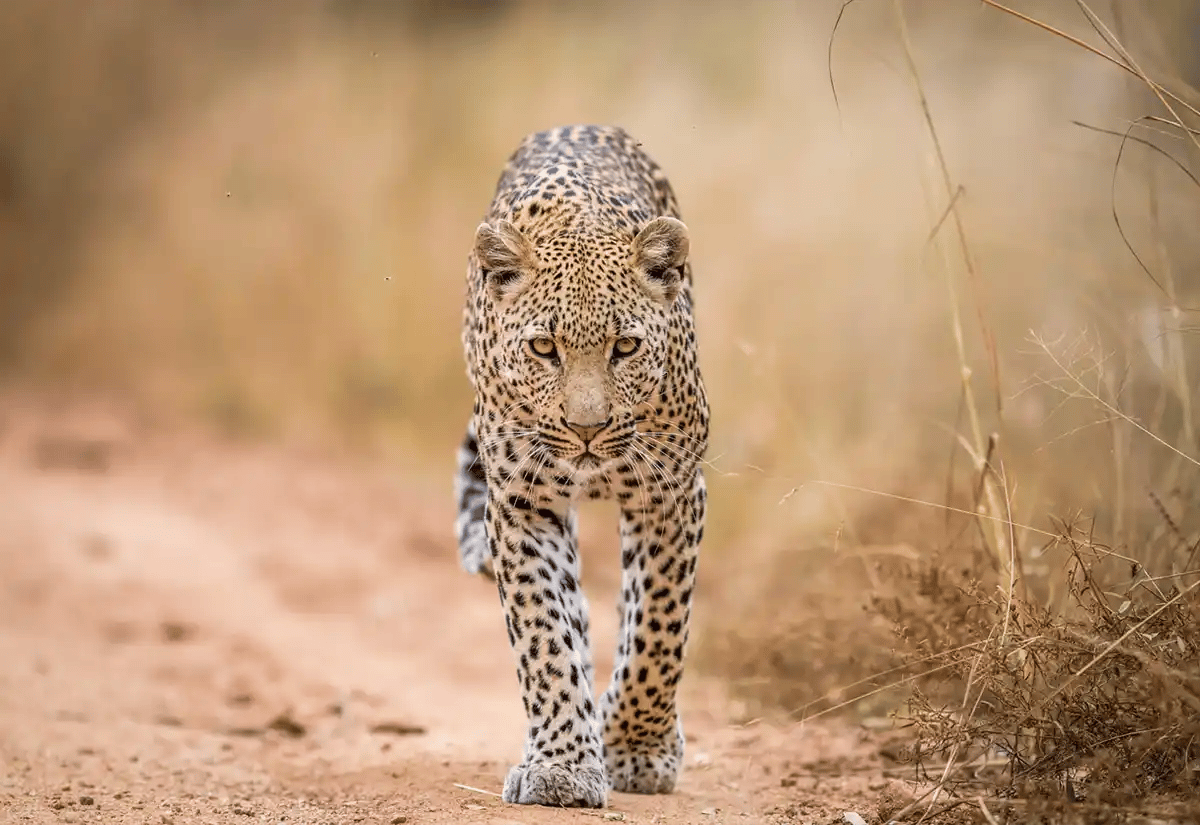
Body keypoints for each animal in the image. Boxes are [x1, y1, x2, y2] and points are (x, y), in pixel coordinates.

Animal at [453, 124, 709, 808]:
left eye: (626, 346)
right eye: (545, 347)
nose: (586, 429)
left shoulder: (670, 493)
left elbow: (657, 628)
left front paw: (638, 750)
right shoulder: (522, 504)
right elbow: (543, 633)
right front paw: (563, 766)